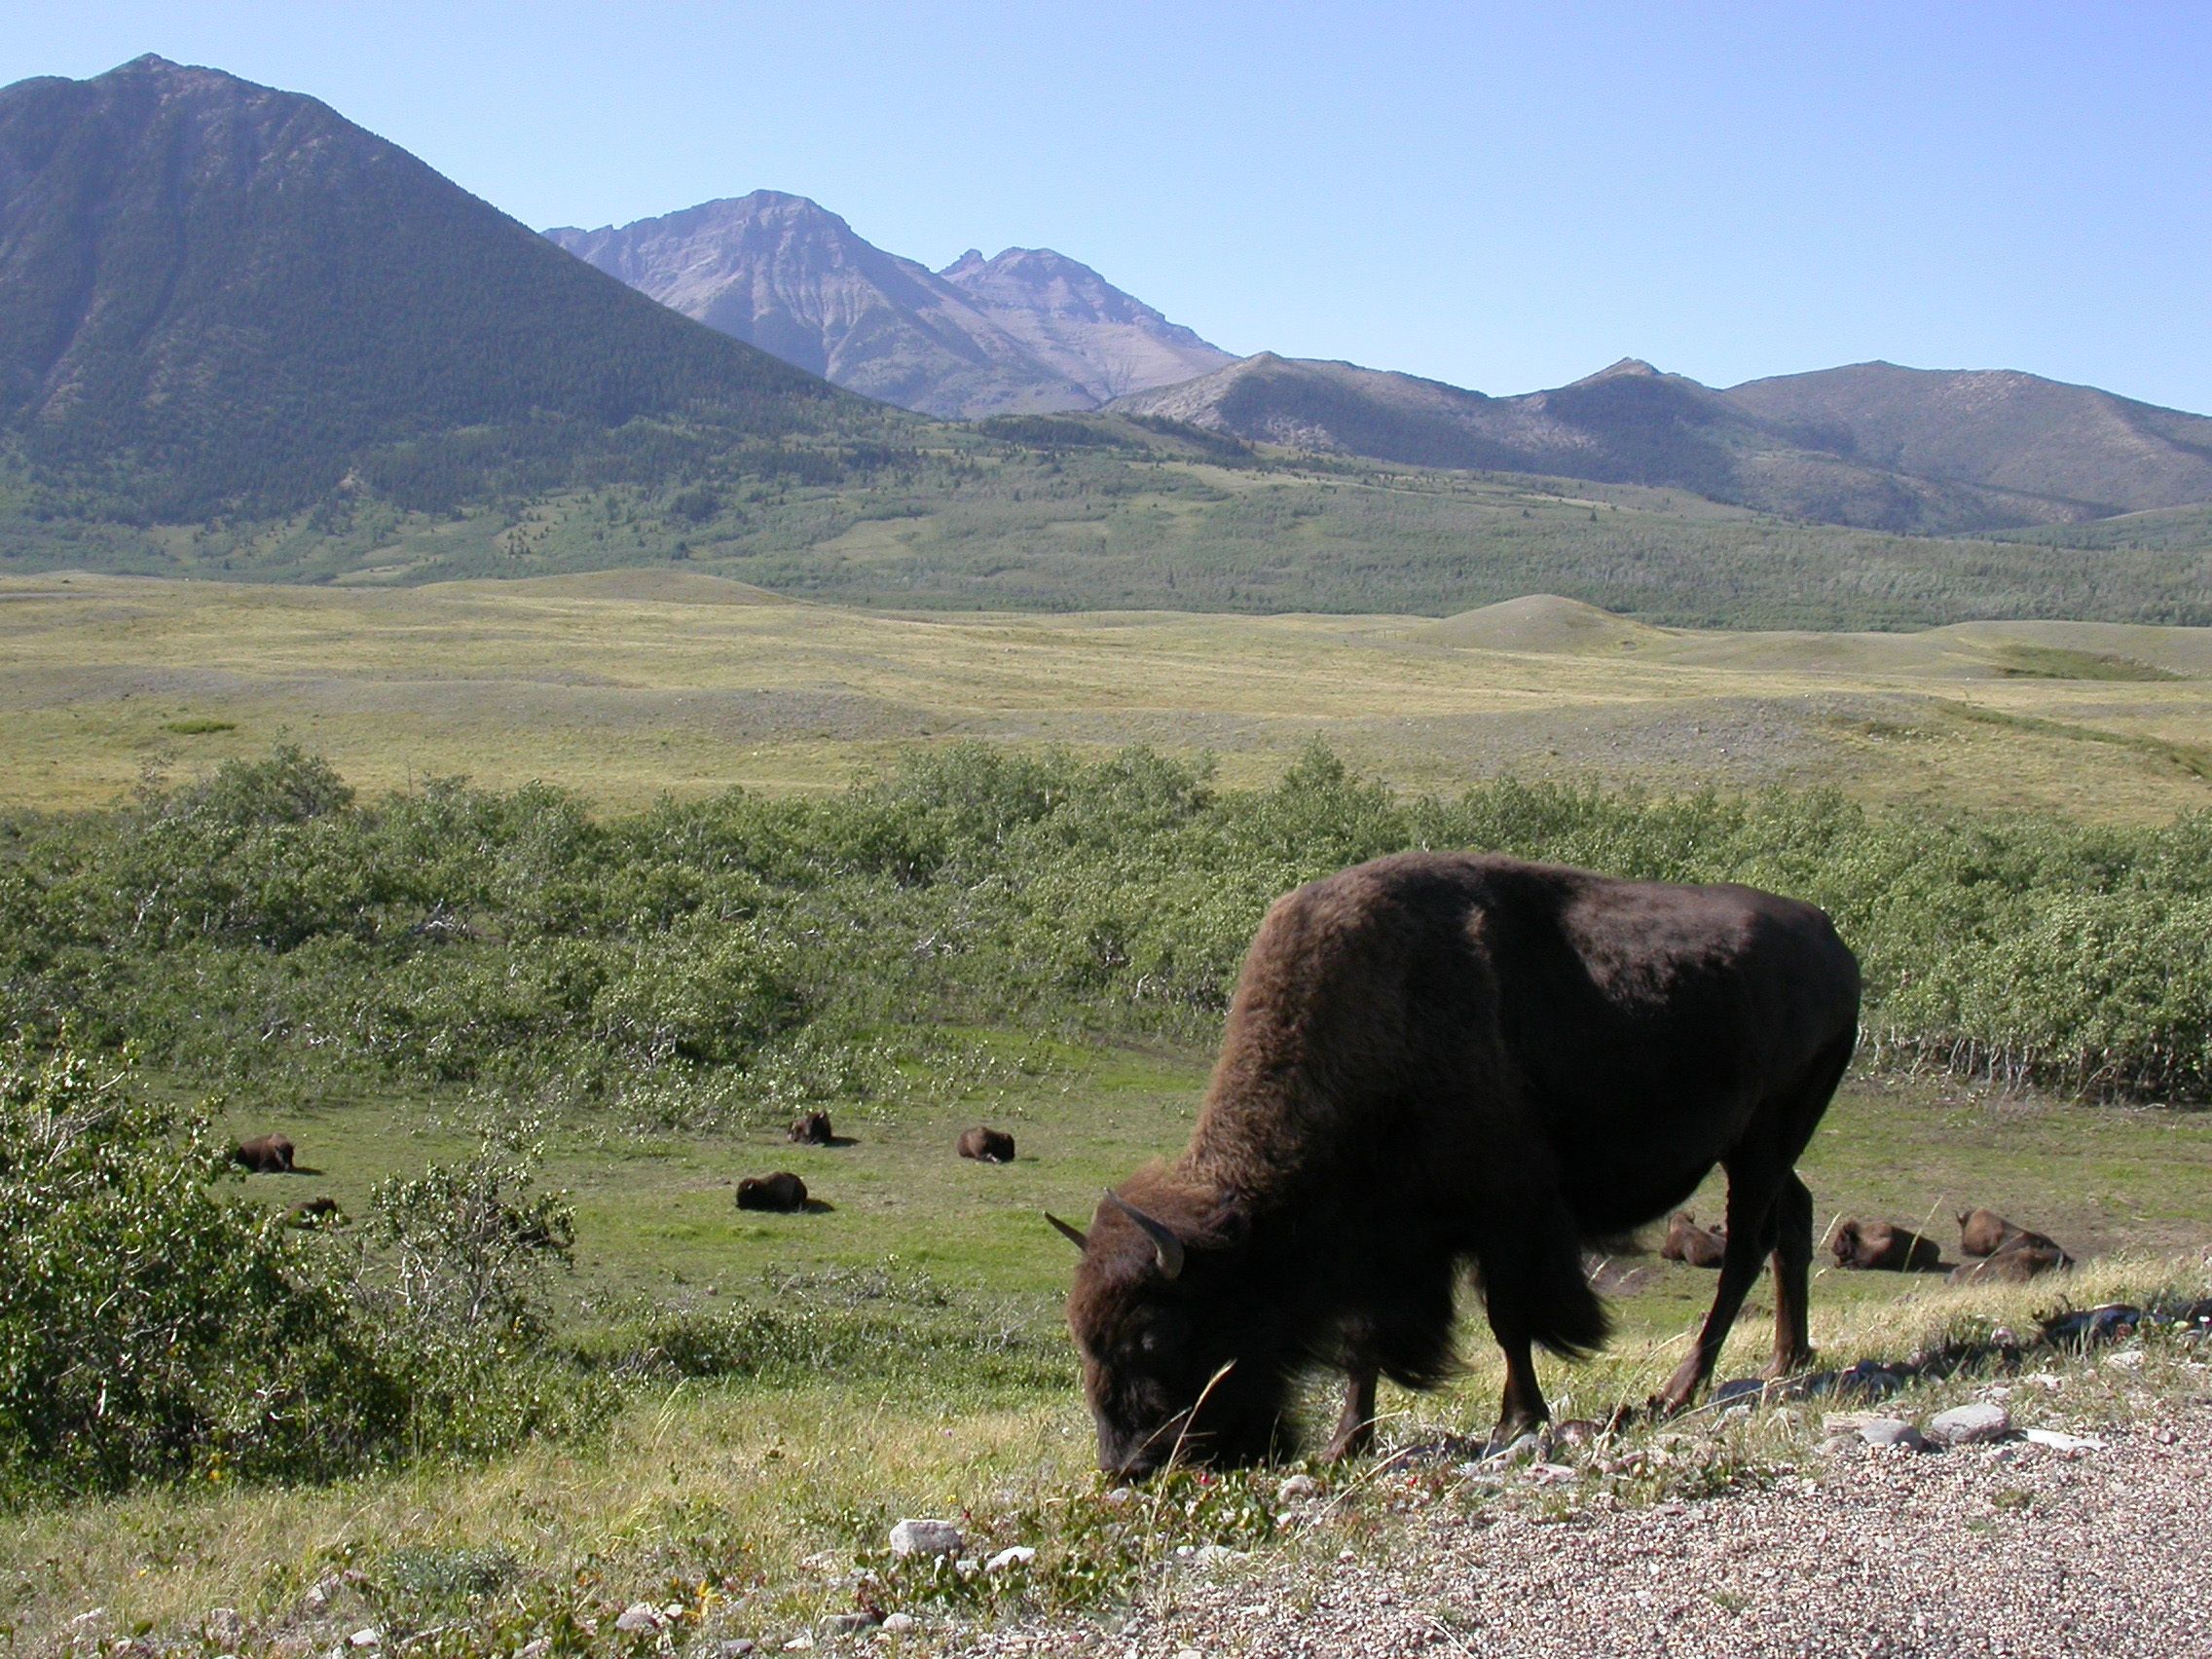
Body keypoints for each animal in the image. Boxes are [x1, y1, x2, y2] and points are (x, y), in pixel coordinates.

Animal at [1044, 858, 1858, 1477]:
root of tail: (1832, 942)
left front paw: (1518, 1422)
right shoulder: (1381, 1248)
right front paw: (1347, 1443)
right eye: (1084, 1339)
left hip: (1764, 1139)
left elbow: (1508, 1322)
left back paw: (1679, 1391)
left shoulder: (1505, 1217)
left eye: (1155, 1337)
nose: (1130, 1466)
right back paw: (1787, 1363)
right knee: (1794, 1221)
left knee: (1747, 1249)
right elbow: (1364, 1343)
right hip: (1762, 1145)